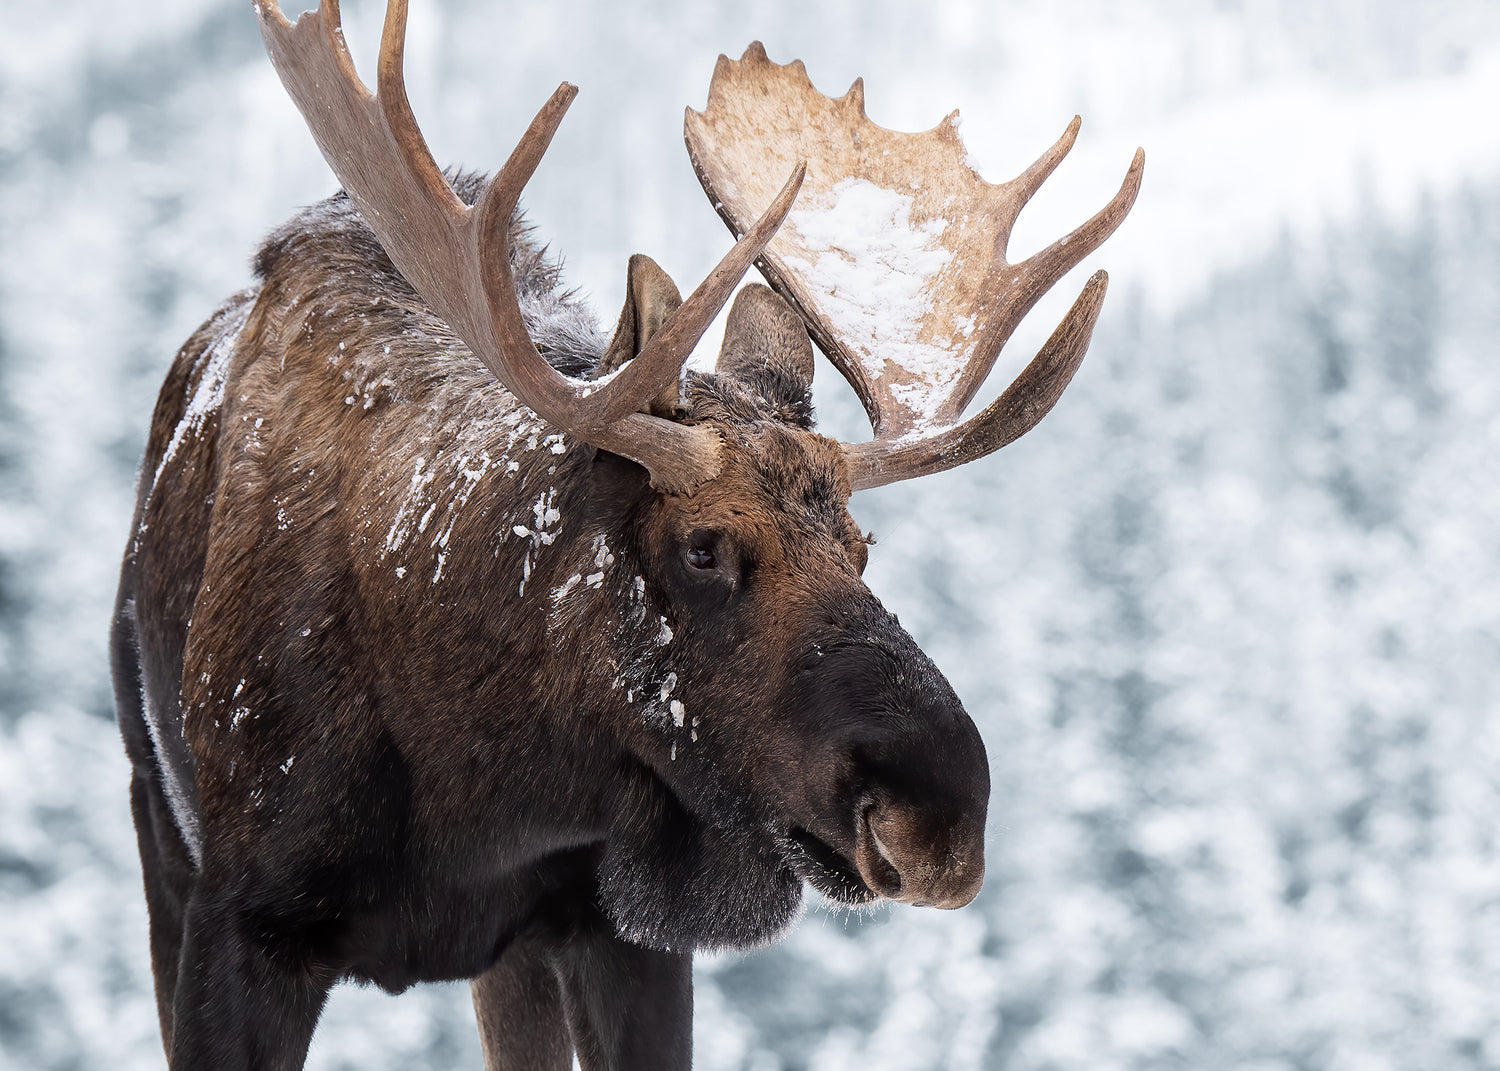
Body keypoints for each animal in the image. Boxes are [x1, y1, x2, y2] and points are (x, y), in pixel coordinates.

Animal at [109, 0, 1142, 1067]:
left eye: (863, 546)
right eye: (702, 546)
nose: (940, 816)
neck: (473, 790)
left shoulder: (618, 932)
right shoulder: (239, 918)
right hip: (156, 816)